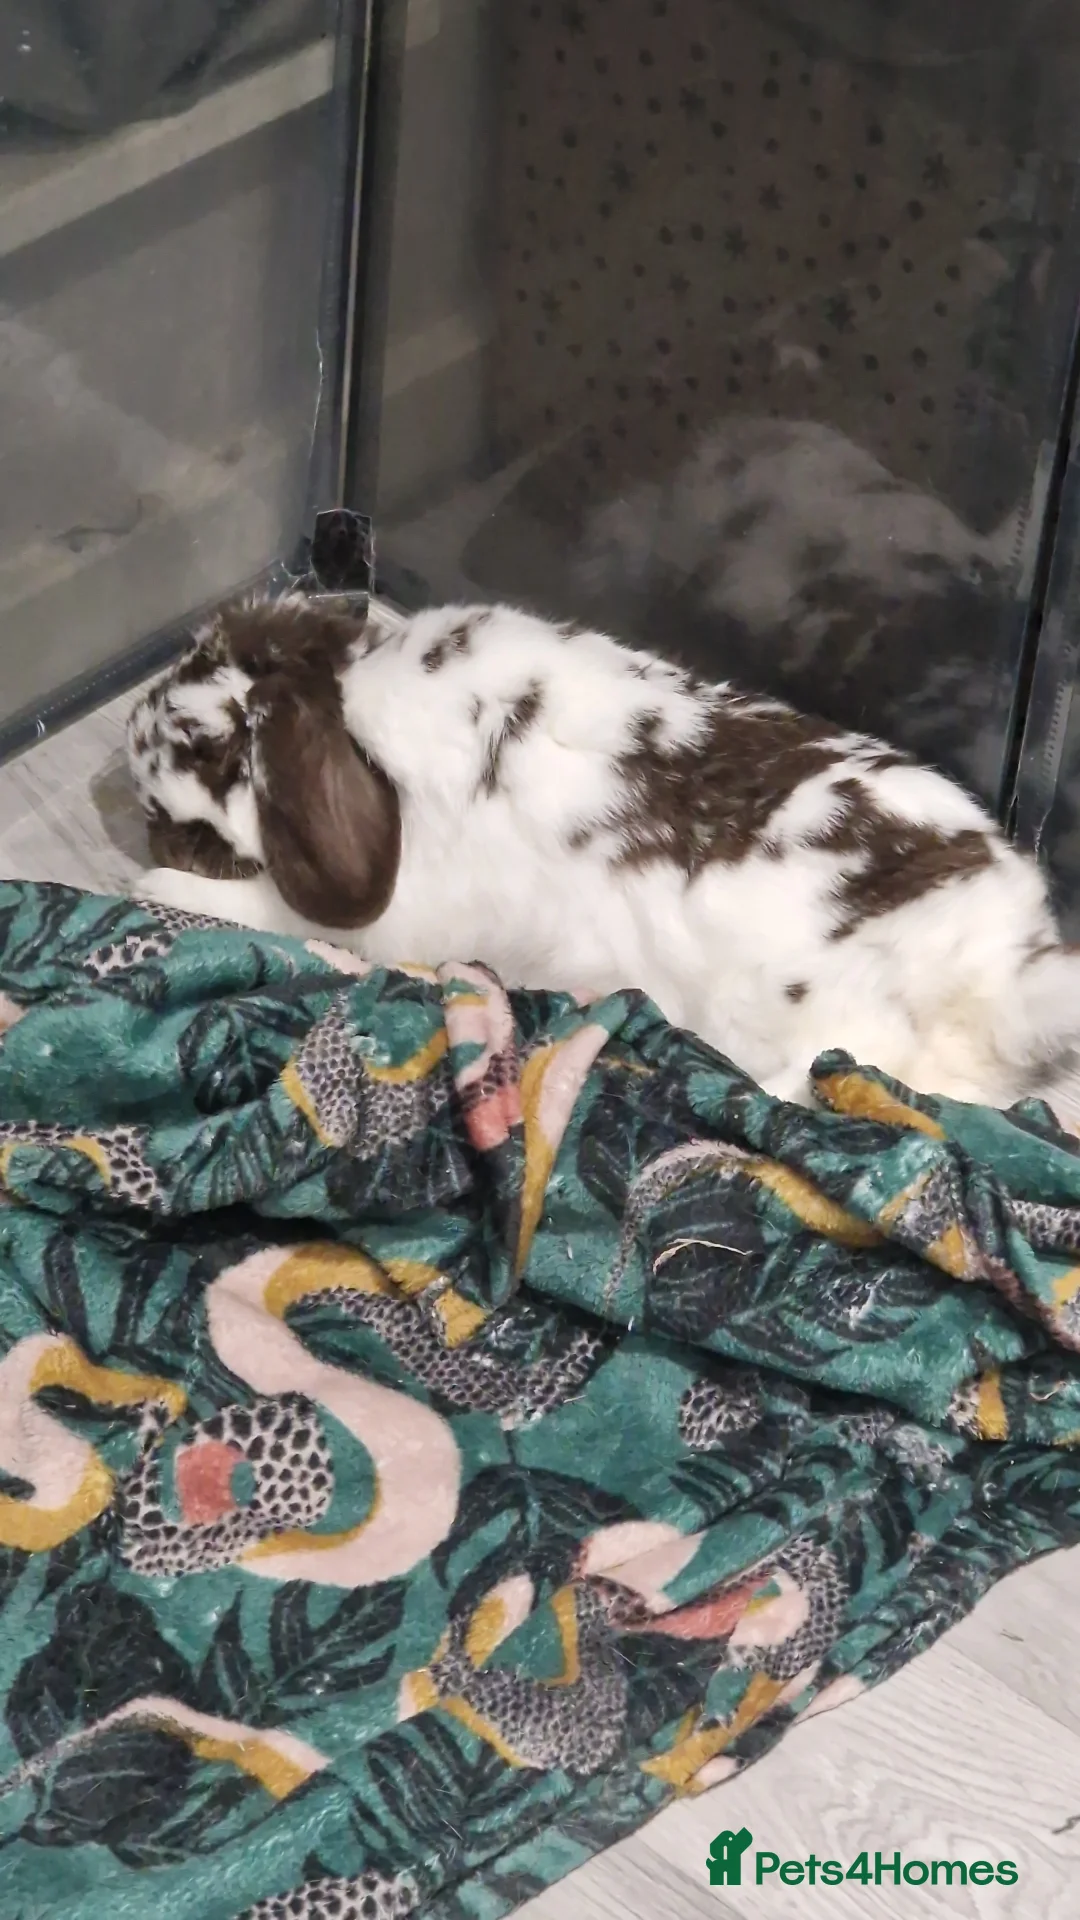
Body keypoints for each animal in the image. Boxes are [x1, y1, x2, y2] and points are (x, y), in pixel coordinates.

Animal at [127, 592, 1080, 1108]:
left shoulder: (385, 923)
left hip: (843, 1035)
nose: (131, 736)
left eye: (215, 747)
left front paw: (149, 881)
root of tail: (1008, 971)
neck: (356, 720)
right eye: (196, 649)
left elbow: (250, 902)